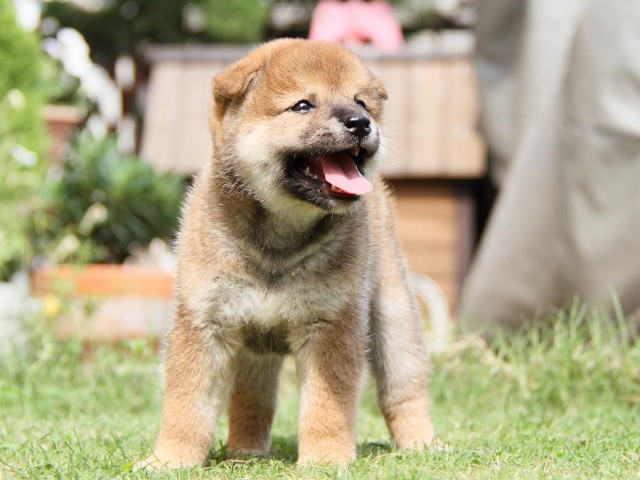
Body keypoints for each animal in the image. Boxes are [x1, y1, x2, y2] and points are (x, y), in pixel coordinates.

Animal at [144, 38, 436, 468]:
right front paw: (170, 459)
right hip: (254, 350)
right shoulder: (206, 323)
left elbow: (326, 406)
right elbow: (186, 404)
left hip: (395, 319)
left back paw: (423, 444)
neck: (279, 241)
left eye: (361, 102)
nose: (361, 123)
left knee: (405, 390)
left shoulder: (328, 324)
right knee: (253, 401)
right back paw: (245, 453)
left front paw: (326, 459)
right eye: (302, 105)